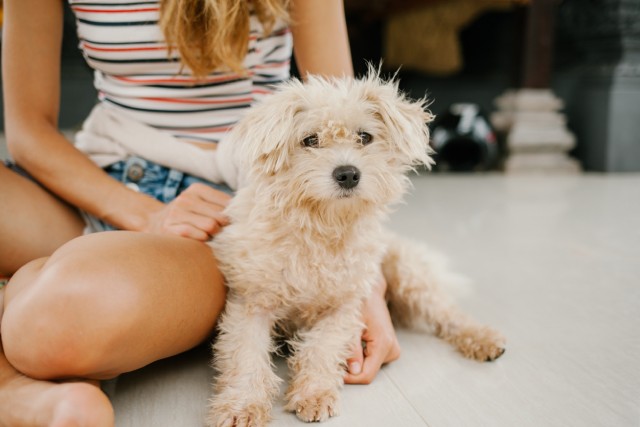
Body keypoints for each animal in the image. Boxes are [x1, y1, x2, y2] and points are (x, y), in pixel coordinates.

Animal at [205, 72, 504, 426]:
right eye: (310, 140)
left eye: (364, 137)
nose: (347, 173)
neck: (320, 227)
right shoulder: (251, 303)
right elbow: (247, 357)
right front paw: (242, 405)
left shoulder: (344, 306)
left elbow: (321, 348)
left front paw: (314, 394)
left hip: (408, 274)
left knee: (448, 314)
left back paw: (483, 339)